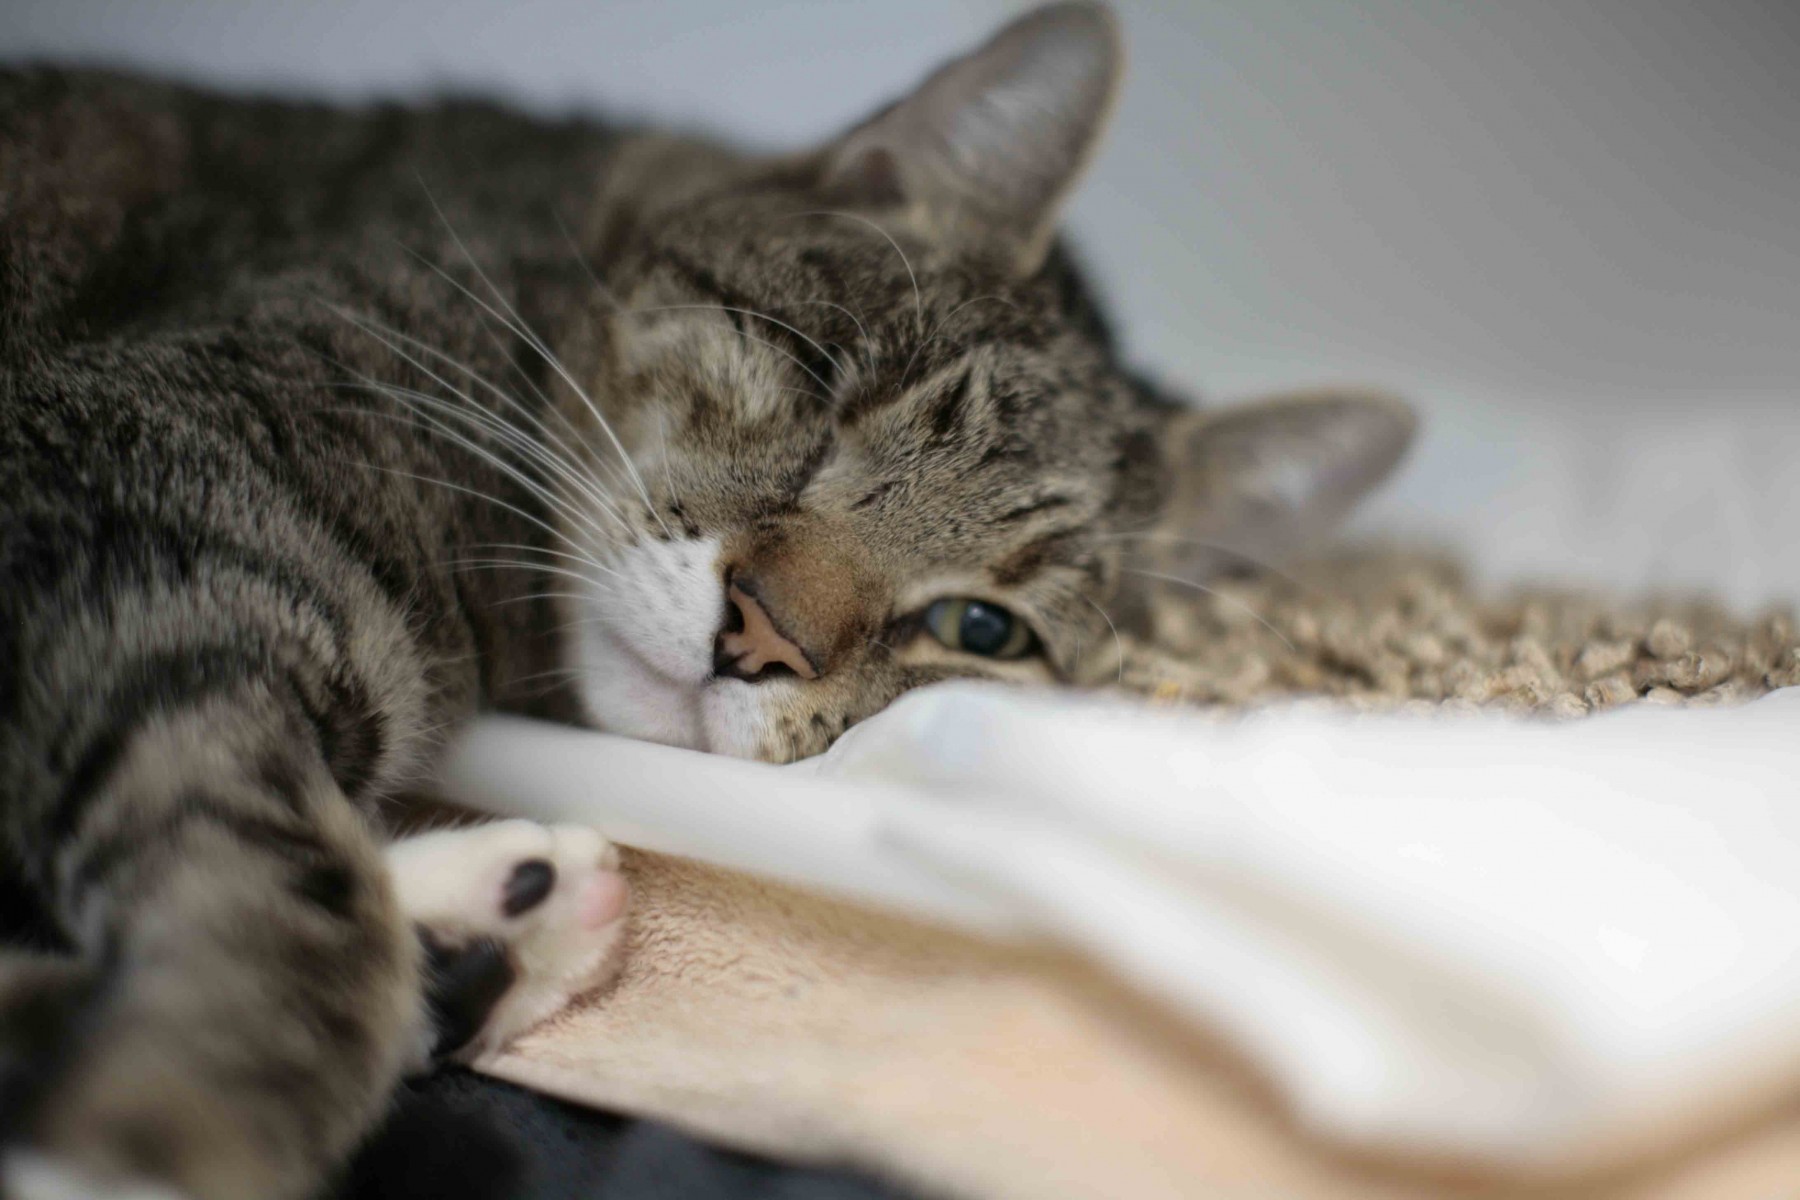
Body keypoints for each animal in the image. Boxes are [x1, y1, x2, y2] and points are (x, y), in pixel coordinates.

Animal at [0, 4, 1404, 1194]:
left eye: (982, 628)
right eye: (826, 388)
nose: (759, 634)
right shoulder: (155, 525)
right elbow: (283, 905)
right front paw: (175, 1133)